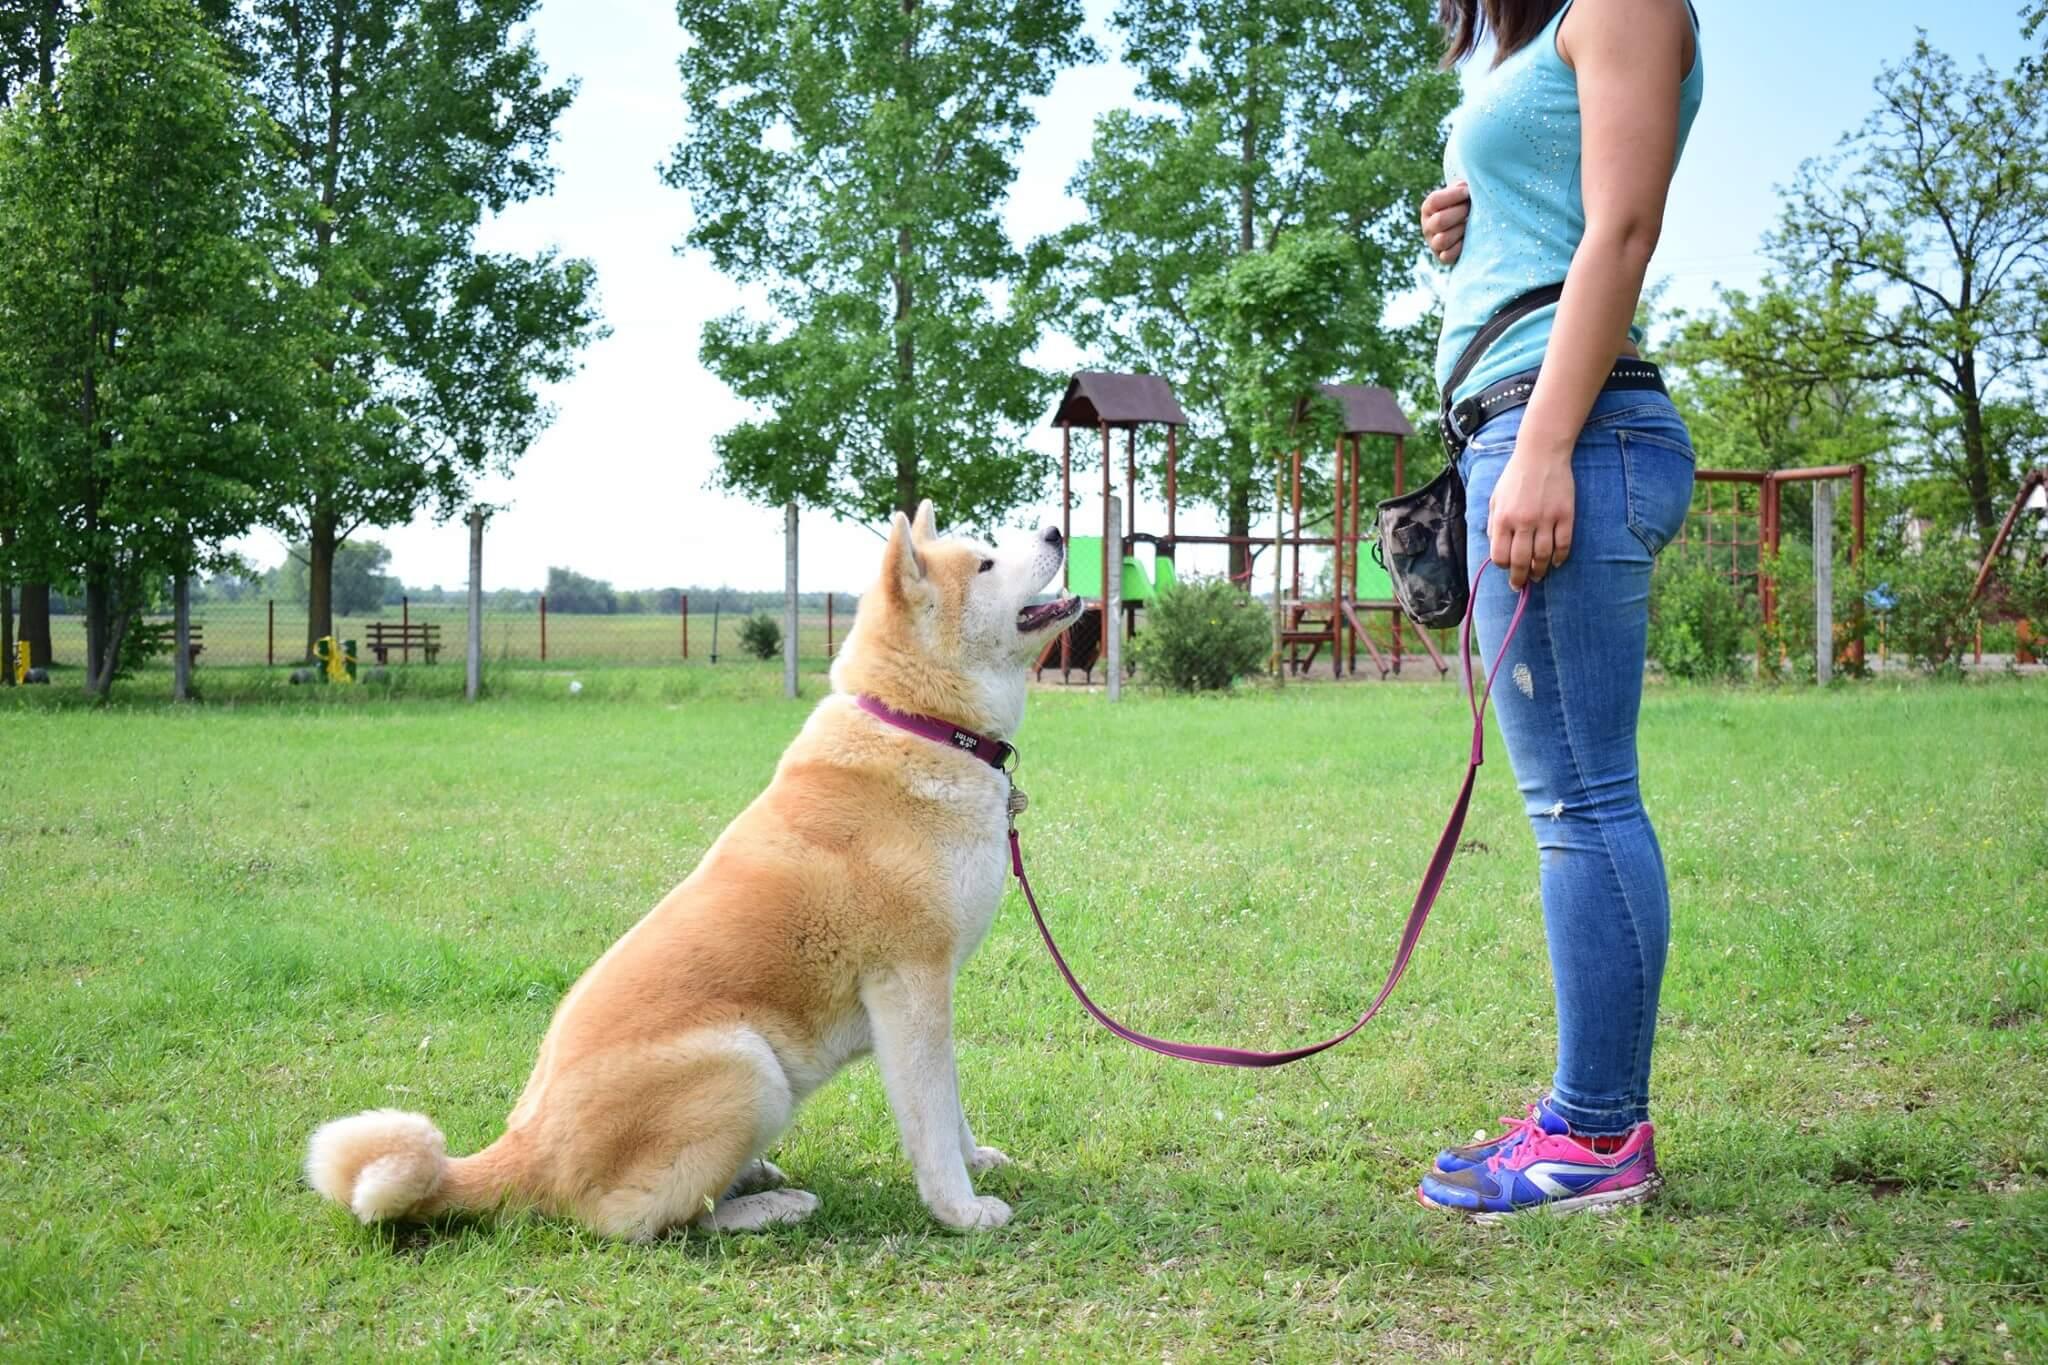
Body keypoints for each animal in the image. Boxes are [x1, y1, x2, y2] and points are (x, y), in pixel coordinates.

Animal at [305, 501, 1089, 1236]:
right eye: (986, 562)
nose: (1057, 530)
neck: (920, 724)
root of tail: (523, 1150)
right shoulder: (910, 987)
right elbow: (930, 1121)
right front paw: (961, 1208)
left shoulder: (931, 993)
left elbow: (951, 1106)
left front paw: (976, 1158)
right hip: (748, 1065)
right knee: (640, 1221)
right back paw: (771, 1204)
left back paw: (756, 1175)